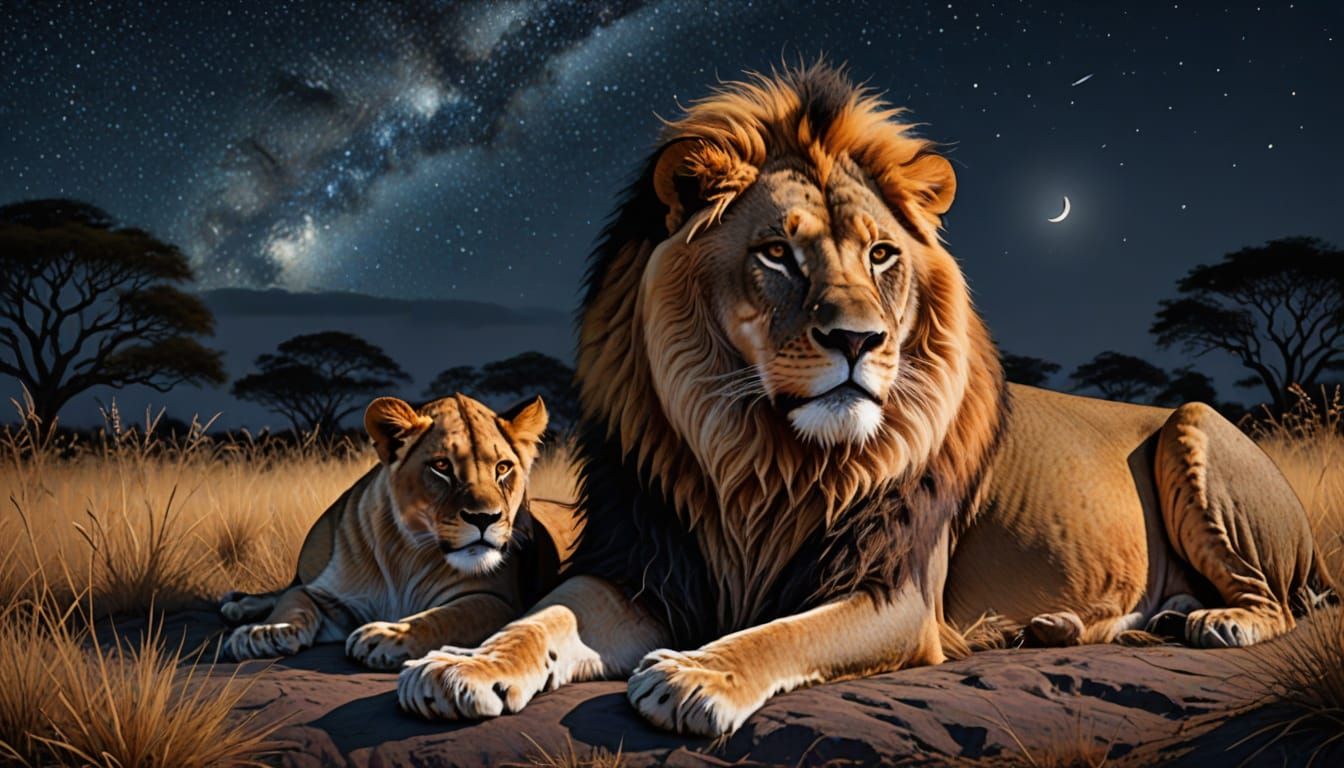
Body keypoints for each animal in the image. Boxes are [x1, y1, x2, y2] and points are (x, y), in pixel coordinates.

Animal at [221, 393, 579, 670]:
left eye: (503, 468)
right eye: (442, 466)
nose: (484, 518)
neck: (406, 553)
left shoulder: (494, 599)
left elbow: (445, 617)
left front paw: (388, 637)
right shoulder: (325, 595)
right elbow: (294, 599)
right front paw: (265, 631)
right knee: (285, 589)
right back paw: (238, 604)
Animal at [395, 63, 1335, 735]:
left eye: (882, 255)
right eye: (776, 253)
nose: (860, 341)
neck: (761, 457)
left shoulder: (896, 592)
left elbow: (785, 631)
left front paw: (697, 675)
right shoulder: (647, 566)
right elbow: (542, 617)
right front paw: (462, 664)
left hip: (1196, 428)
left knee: (1284, 601)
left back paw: (1216, 622)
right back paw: (1062, 628)